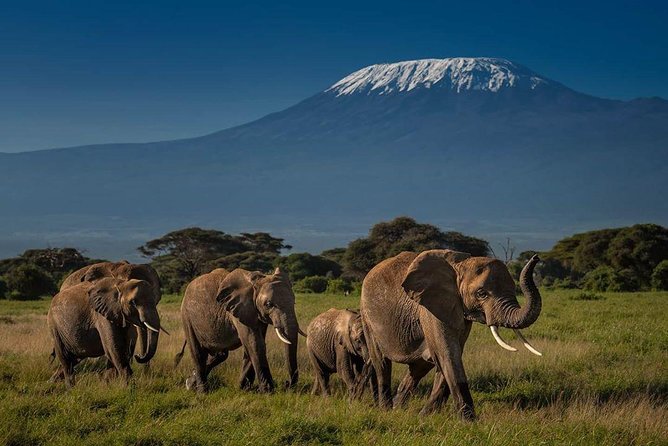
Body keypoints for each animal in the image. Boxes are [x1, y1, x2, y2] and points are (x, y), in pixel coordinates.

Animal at [360, 249, 542, 420]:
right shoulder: (432, 308)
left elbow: (450, 355)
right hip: (367, 317)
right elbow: (447, 354)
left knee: (420, 366)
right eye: (481, 293)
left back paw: (398, 408)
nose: (536, 257)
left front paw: (426, 416)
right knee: (382, 363)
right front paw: (469, 422)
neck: (460, 265)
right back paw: (386, 409)